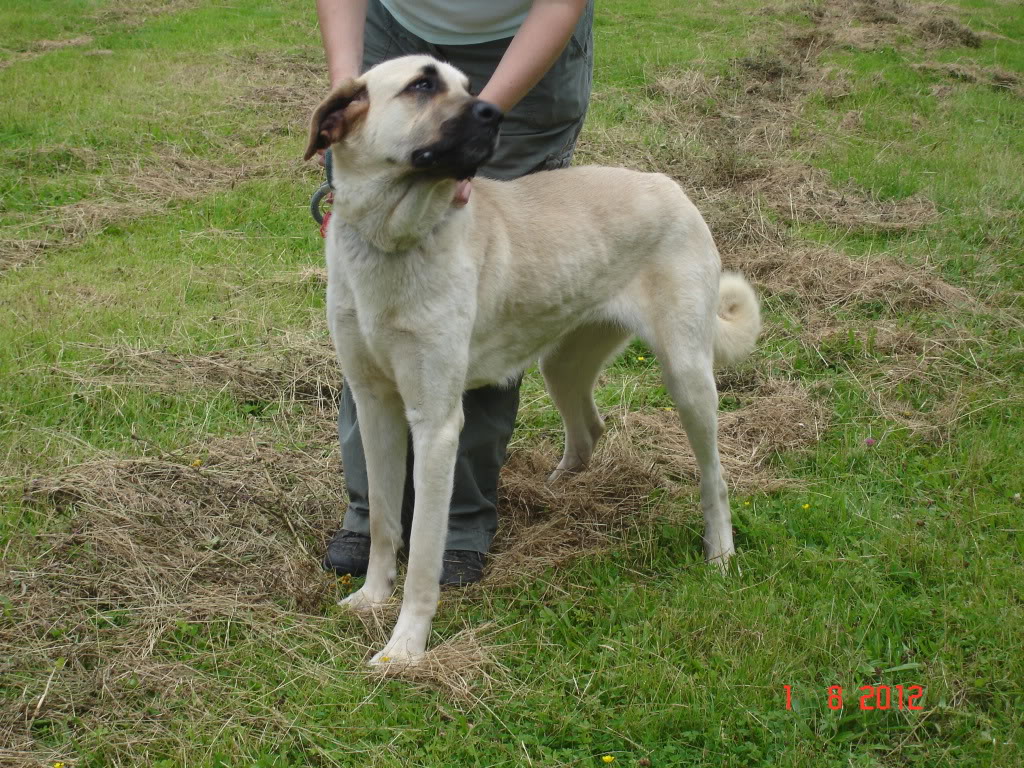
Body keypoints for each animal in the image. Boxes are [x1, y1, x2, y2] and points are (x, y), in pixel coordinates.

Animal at [303, 55, 761, 667]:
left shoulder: (436, 426)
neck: (392, 241)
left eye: (468, 86)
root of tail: (671, 186)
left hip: (686, 378)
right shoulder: (376, 405)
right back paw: (559, 486)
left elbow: (423, 553)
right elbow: (381, 519)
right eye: (422, 85)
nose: (495, 112)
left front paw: (405, 648)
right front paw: (372, 598)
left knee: (716, 478)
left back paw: (720, 553)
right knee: (590, 427)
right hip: (561, 365)